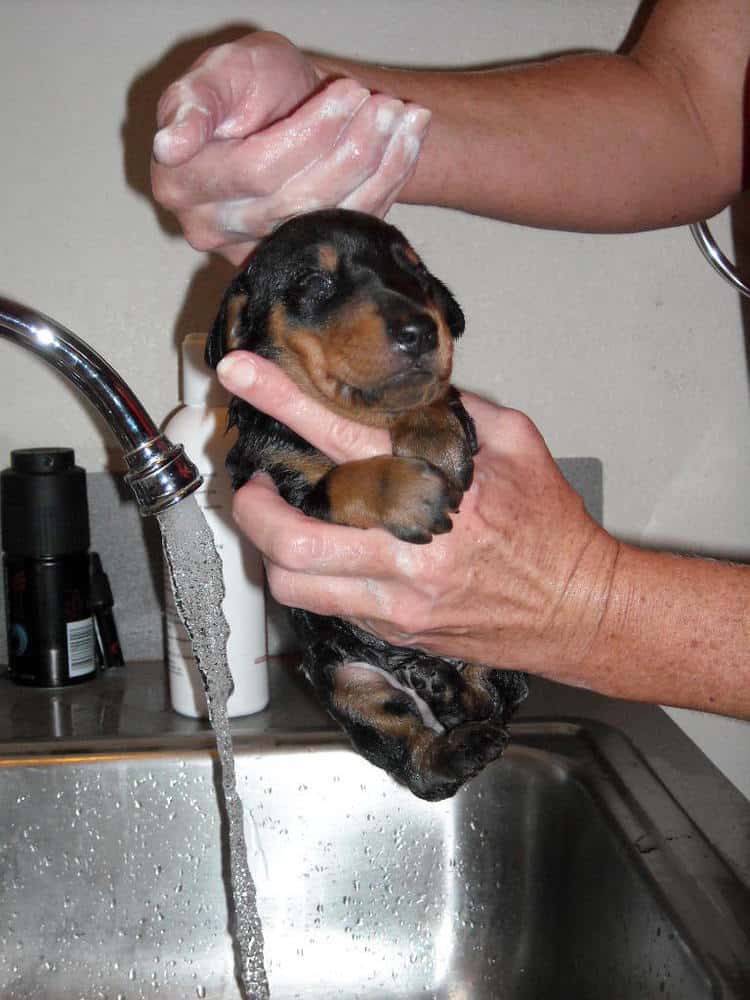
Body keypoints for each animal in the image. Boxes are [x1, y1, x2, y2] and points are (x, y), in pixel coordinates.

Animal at [207, 207, 528, 800]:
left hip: (498, 646)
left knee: (493, 697)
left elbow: (432, 394)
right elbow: (342, 481)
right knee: (413, 753)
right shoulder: (279, 482)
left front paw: (433, 438)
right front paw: (414, 495)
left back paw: (453, 700)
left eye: (416, 274)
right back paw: (447, 725)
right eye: (317, 282)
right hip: (344, 681)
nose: (421, 330)